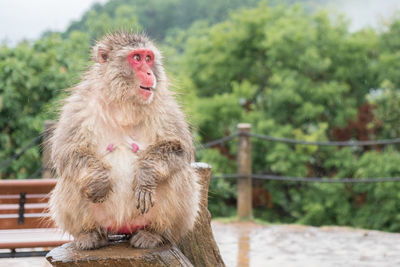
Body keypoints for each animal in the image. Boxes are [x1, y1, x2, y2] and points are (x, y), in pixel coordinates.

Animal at [48, 31, 200, 251]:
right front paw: (99, 179)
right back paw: (90, 234)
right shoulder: (79, 104)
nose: (149, 74)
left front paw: (146, 175)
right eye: (136, 58)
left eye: (148, 58)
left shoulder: (165, 105)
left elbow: (181, 149)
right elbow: (65, 151)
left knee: (178, 174)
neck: (123, 103)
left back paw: (154, 234)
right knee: (71, 177)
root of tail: (122, 227)